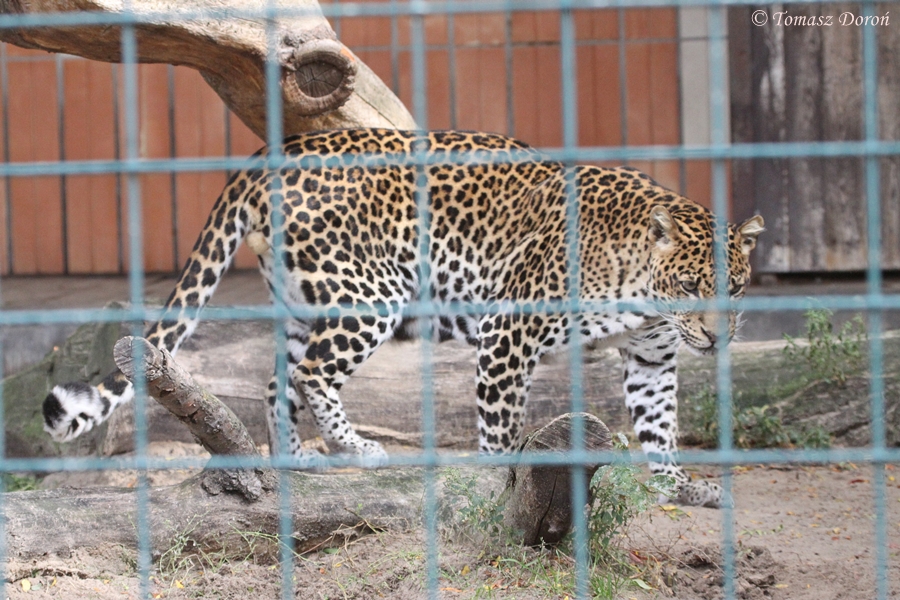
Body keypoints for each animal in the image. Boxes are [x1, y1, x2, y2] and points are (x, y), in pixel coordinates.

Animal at [42, 128, 764, 508]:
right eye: (690, 286)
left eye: (735, 287)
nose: (713, 337)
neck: (641, 288)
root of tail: (276, 151)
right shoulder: (509, 332)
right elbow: (499, 423)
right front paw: (502, 479)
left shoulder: (652, 357)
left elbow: (660, 423)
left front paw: (679, 485)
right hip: (369, 291)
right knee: (312, 375)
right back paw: (354, 448)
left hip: (305, 300)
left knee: (280, 380)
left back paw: (295, 462)